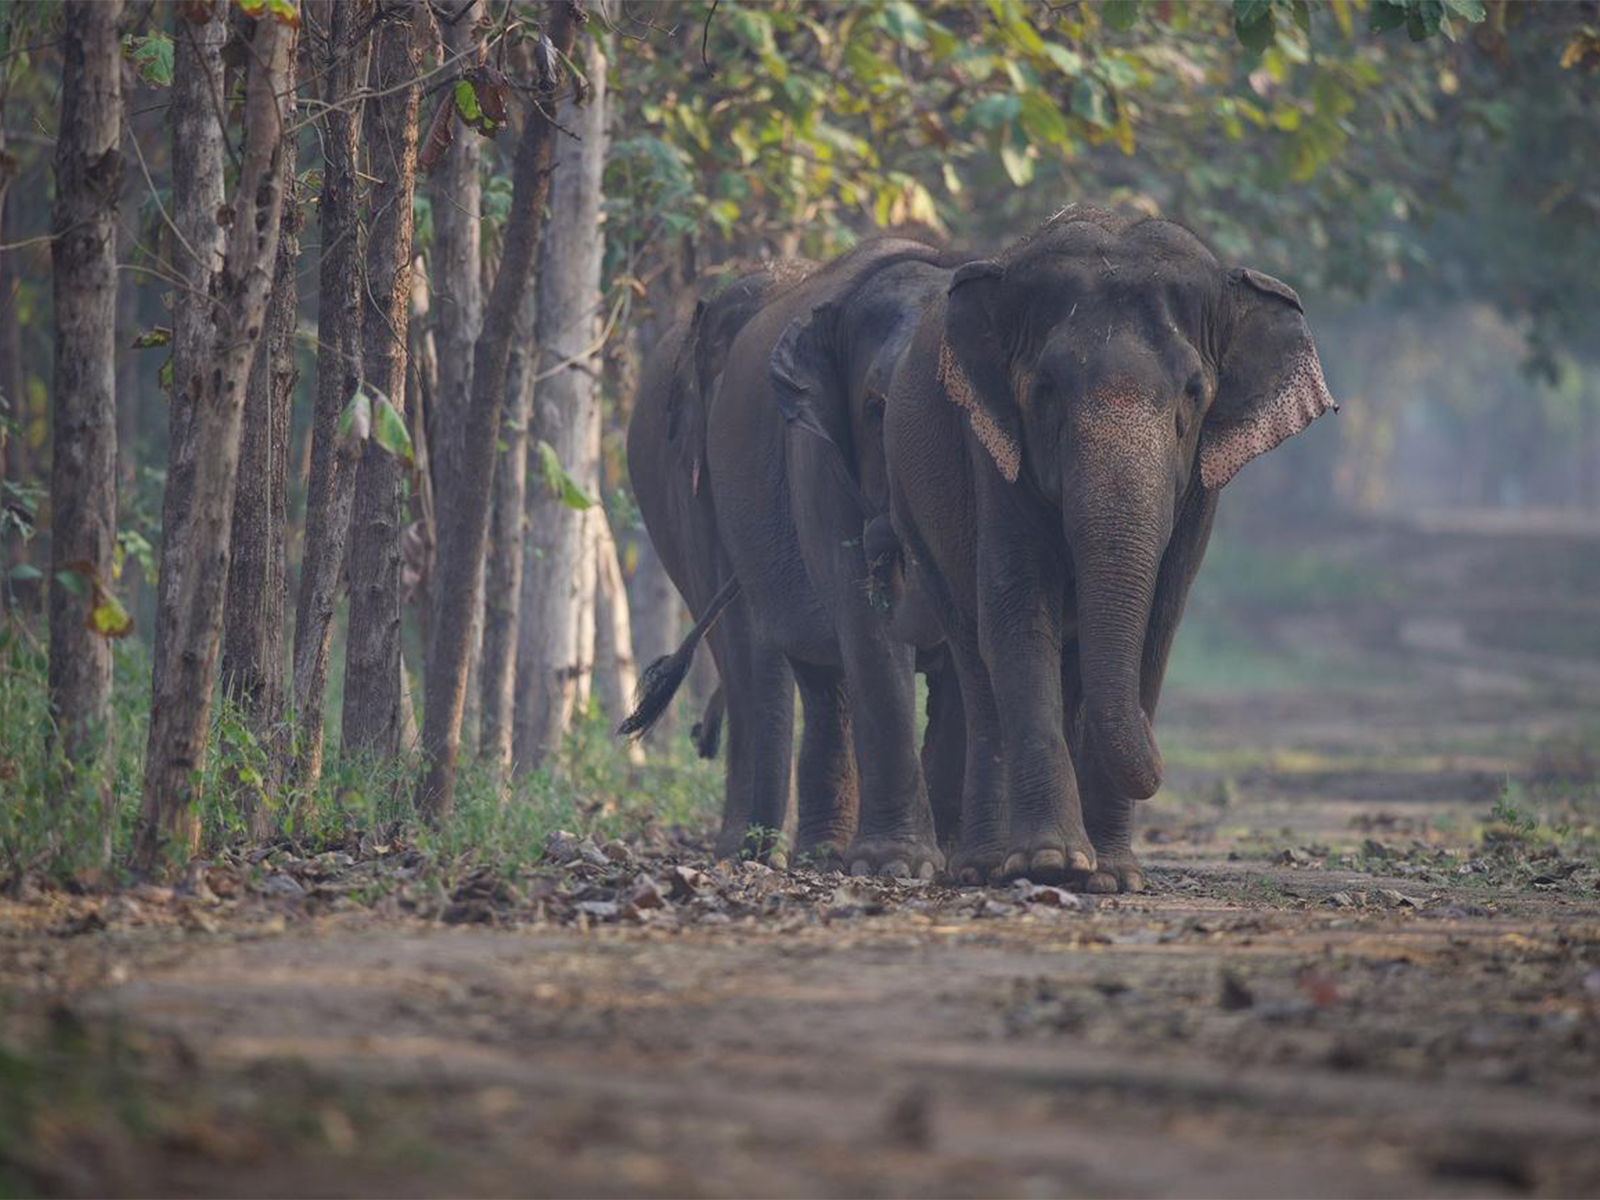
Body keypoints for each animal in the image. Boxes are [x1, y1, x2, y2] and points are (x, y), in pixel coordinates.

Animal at [883, 205, 1337, 892]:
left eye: (1194, 391)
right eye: (1044, 389)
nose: (1163, 759)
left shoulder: (1201, 486)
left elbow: (1158, 621)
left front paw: (1114, 877)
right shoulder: (991, 446)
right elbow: (1017, 609)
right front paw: (1052, 863)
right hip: (912, 502)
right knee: (972, 653)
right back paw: (985, 867)